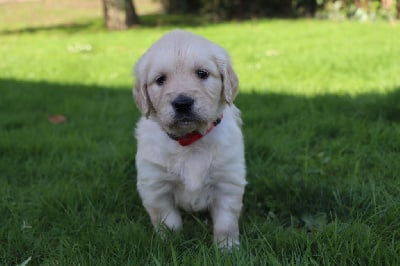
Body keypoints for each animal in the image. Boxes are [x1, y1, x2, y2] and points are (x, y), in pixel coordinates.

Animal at [134, 30, 245, 248]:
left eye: (202, 73)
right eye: (160, 80)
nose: (182, 103)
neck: (190, 140)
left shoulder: (228, 181)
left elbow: (226, 222)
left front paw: (227, 248)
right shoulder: (156, 185)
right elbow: (168, 220)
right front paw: (170, 244)